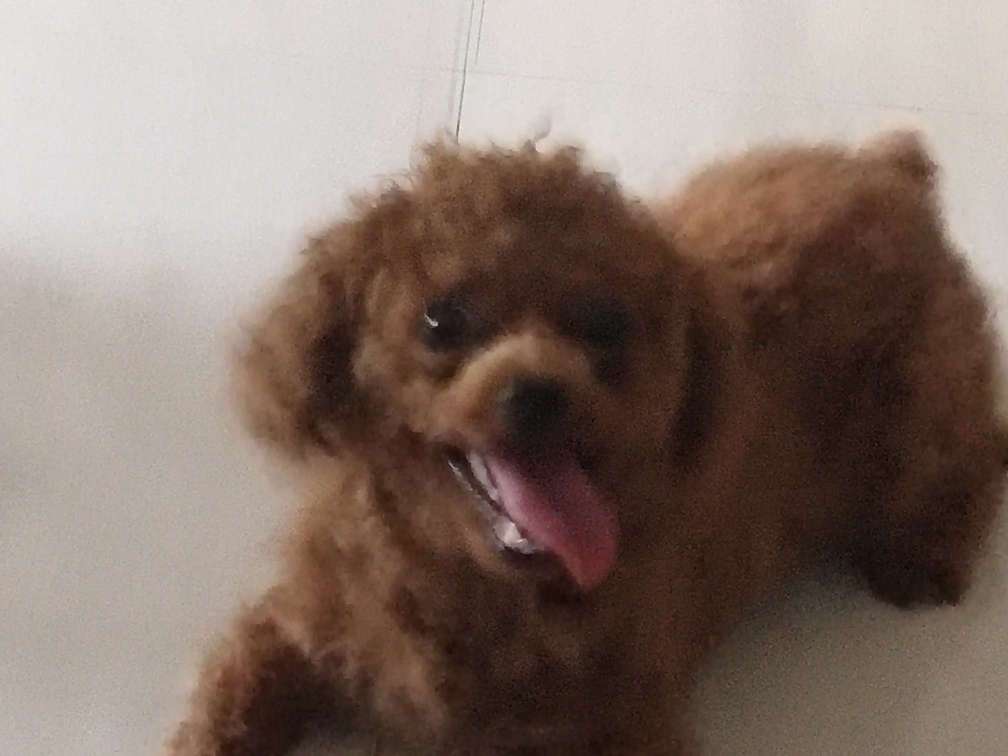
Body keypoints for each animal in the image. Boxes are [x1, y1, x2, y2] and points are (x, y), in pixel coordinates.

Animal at [168, 132, 1006, 754]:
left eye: (605, 325)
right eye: (441, 320)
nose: (538, 391)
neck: (477, 588)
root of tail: (892, 173)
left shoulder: (623, 726)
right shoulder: (288, 632)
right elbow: (224, 710)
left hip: (919, 417)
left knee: (978, 455)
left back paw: (925, 555)